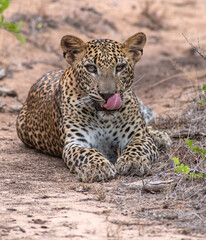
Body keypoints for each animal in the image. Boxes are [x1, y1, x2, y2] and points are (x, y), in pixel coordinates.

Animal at [16, 31, 171, 182]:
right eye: (91, 68)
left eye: (120, 67)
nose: (108, 95)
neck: (104, 119)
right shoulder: (75, 142)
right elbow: (87, 153)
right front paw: (97, 167)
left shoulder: (139, 135)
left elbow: (138, 146)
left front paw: (133, 161)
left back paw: (160, 137)